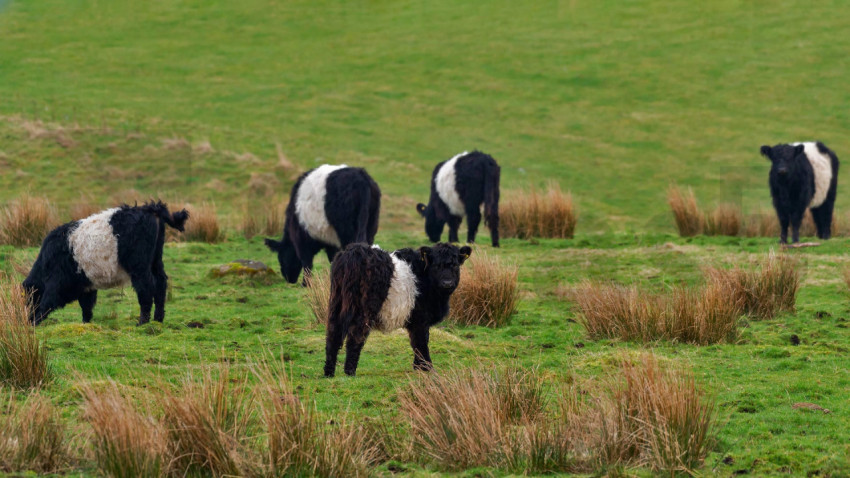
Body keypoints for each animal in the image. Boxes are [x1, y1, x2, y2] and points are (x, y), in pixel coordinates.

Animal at [22, 200, 188, 326]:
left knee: (146, 288)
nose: (27, 317)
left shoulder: (57, 283)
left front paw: (34, 322)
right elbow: (86, 307)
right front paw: (86, 324)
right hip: (155, 260)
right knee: (161, 283)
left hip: (139, 266)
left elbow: (47, 303)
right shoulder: (86, 286)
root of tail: (149, 208)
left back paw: (142, 322)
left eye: (30, 298)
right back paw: (158, 319)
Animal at [322, 243, 470, 378]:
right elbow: (421, 341)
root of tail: (354, 251)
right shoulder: (421, 319)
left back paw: (329, 372)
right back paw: (350, 372)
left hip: (336, 303)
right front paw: (427, 368)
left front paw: (418, 367)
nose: (447, 283)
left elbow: (416, 342)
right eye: (436, 265)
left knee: (333, 335)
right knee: (355, 336)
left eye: (455, 265)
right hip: (363, 309)